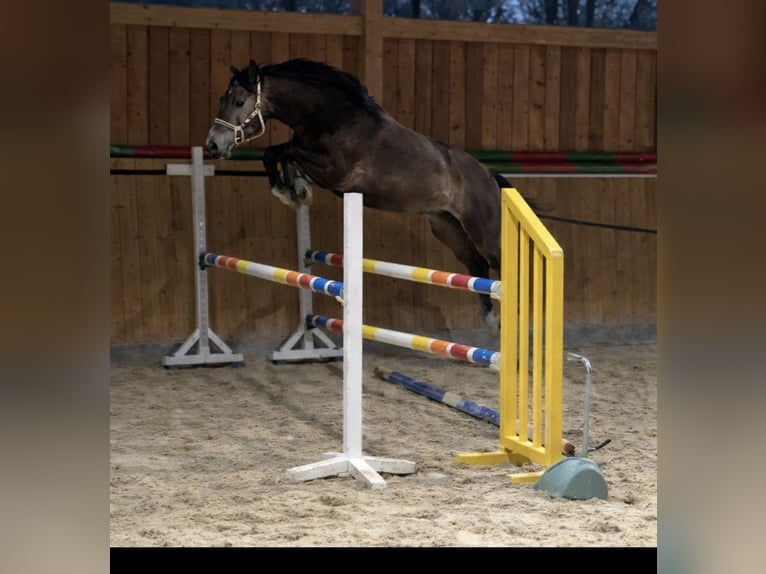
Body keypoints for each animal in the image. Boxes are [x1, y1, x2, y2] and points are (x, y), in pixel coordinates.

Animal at [205, 58, 526, 330]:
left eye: (239, 101)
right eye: (221, 100)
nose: (212, 145)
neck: (331, 116)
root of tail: (488, 176)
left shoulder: (332, 169)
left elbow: (279, 150)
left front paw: (292, 190)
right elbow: (280, 154)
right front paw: (294, 190)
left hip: (484, 232)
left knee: (502, 266)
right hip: (448, 229)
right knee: (477, 265)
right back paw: (492, 319)